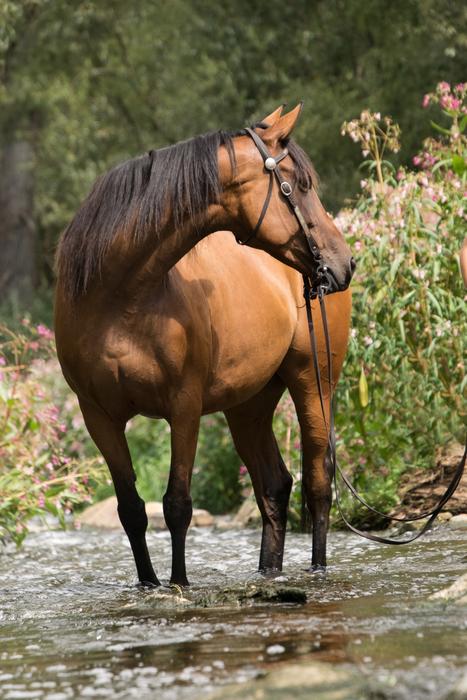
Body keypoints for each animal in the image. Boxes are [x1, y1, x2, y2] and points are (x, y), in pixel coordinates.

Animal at [54, 104, 354, 587]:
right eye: (300, 185)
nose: (344, 263)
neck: (120, 298)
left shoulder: (184, 408)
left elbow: (177, 504)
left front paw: (178, 585)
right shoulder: (98, 417)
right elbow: (131, 510)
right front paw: (149, 584)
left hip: (315, 384)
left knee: (317, 482)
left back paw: (318, 570)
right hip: (248, 405)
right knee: (275, 486)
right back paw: (268, 575)